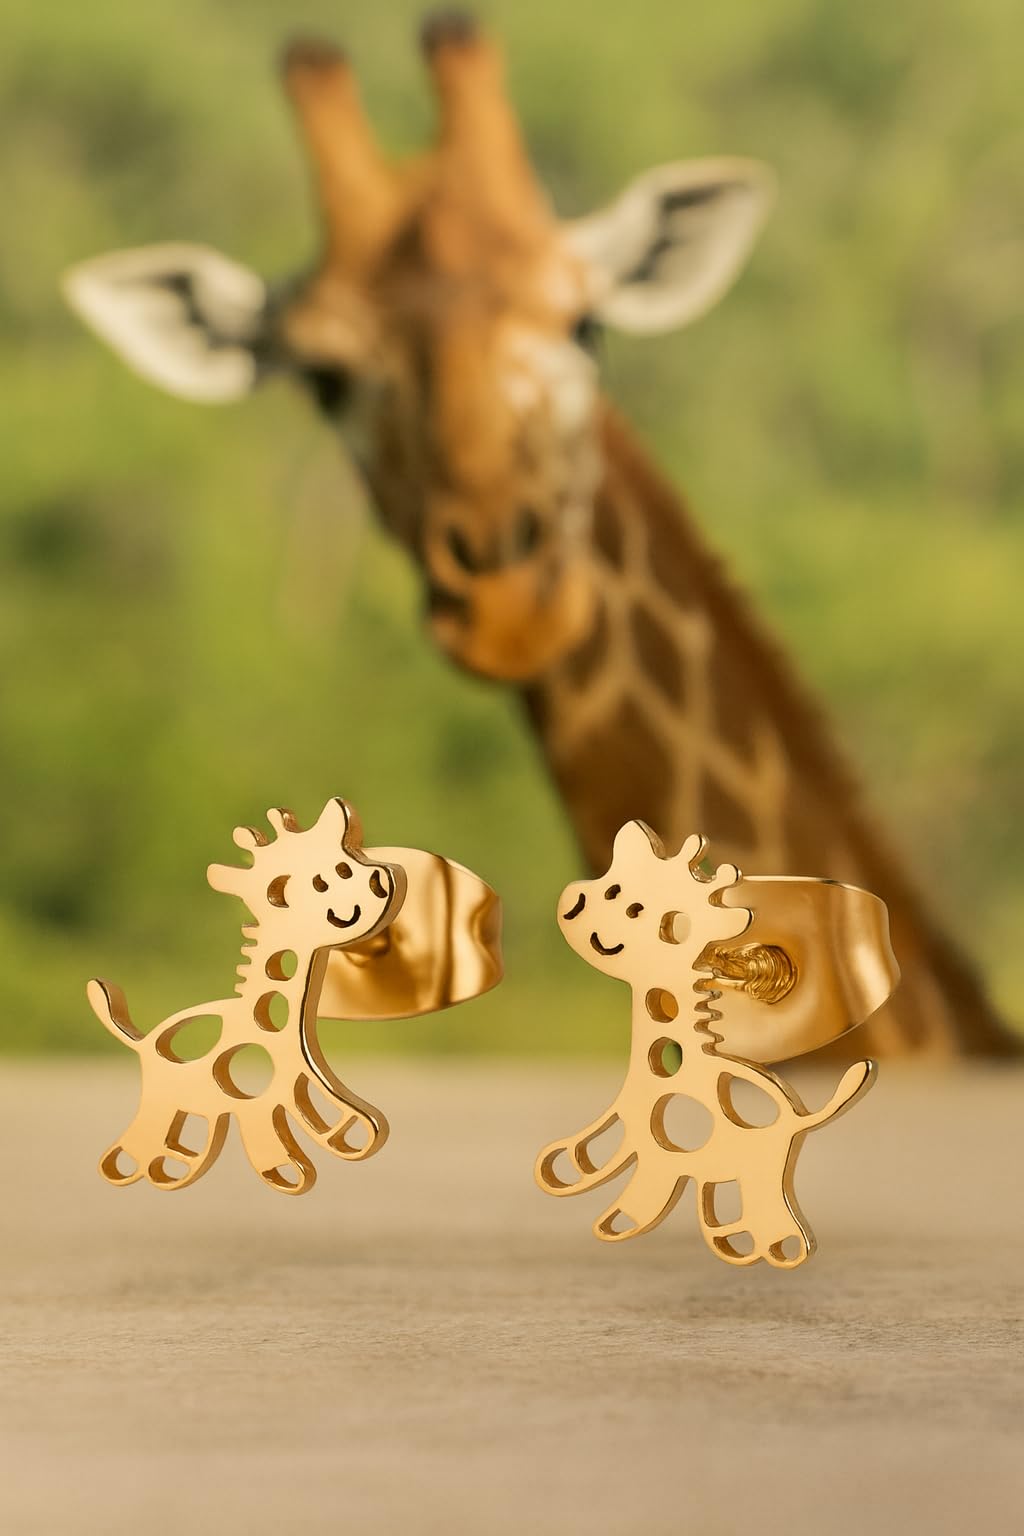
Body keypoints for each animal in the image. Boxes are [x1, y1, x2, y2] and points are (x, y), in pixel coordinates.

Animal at [88, 798, 407, 1193]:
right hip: (160, 1099)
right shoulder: (268, 1099)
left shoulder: (284, 1090)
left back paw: (172, 1169)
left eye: (346, 865)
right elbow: (297, 1136)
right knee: (134, 1144)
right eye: (322, 881)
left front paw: (290, 1171)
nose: (380, 881)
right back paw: (132, 1169)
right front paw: (292, 1170)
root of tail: (141, 1041)